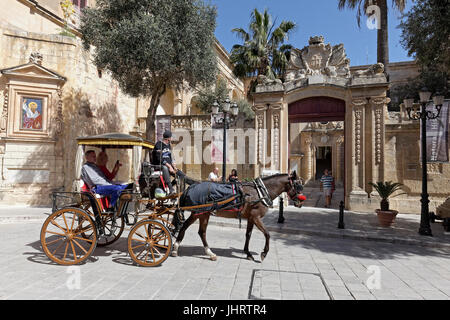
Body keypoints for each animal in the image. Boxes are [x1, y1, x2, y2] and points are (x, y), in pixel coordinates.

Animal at [171, 171, 304, 262]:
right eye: (298, 185)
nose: (300, 202)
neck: (260, 192)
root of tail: (190, 187)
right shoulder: (256, 217)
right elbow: (267, 234)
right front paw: (264, 253)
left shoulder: (251, 218)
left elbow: (248, 235)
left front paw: (248, 253)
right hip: (198, 213)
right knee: (188, 228)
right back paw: (177, 249)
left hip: (202, 214)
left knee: (198, 231)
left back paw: (206, 252)